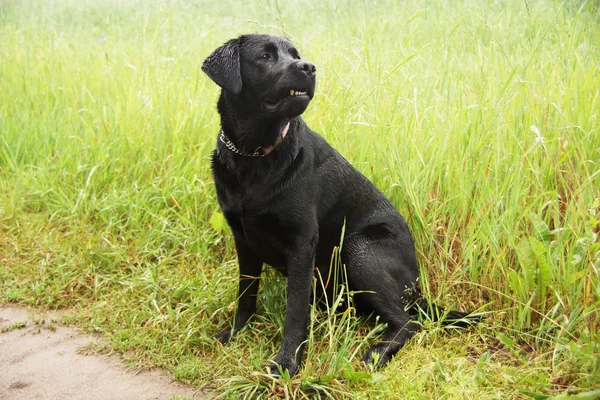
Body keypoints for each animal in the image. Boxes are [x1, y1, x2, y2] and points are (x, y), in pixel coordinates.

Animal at [202, 33, 478, 376]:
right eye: (265, 56)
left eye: (296, 54)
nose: (308, 67)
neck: (254, 156)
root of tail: (416, 289)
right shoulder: (243, 240)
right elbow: (246, 295)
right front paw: (236, 333)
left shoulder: (302, 244)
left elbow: (295, 310)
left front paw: (288, 362)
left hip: (359, 250)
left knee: (409, 323)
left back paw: (378, 353)